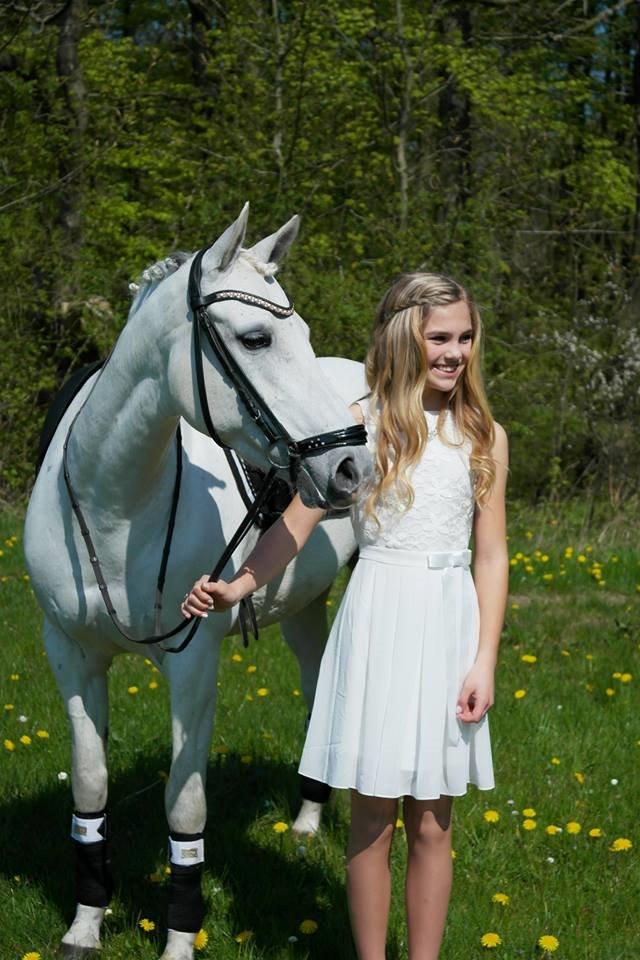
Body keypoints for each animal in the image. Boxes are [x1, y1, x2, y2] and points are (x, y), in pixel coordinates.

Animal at [23, 204, 371, 960]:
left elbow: (185, 804)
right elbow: (89, 786)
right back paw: (306, 822)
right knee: (314, 685)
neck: (114, 504)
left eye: (302, 334)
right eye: (256, 337)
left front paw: (181, 936)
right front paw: (85, 923)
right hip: (307, 605)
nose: (352, 468)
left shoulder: (192, 663)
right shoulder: (70, 655)